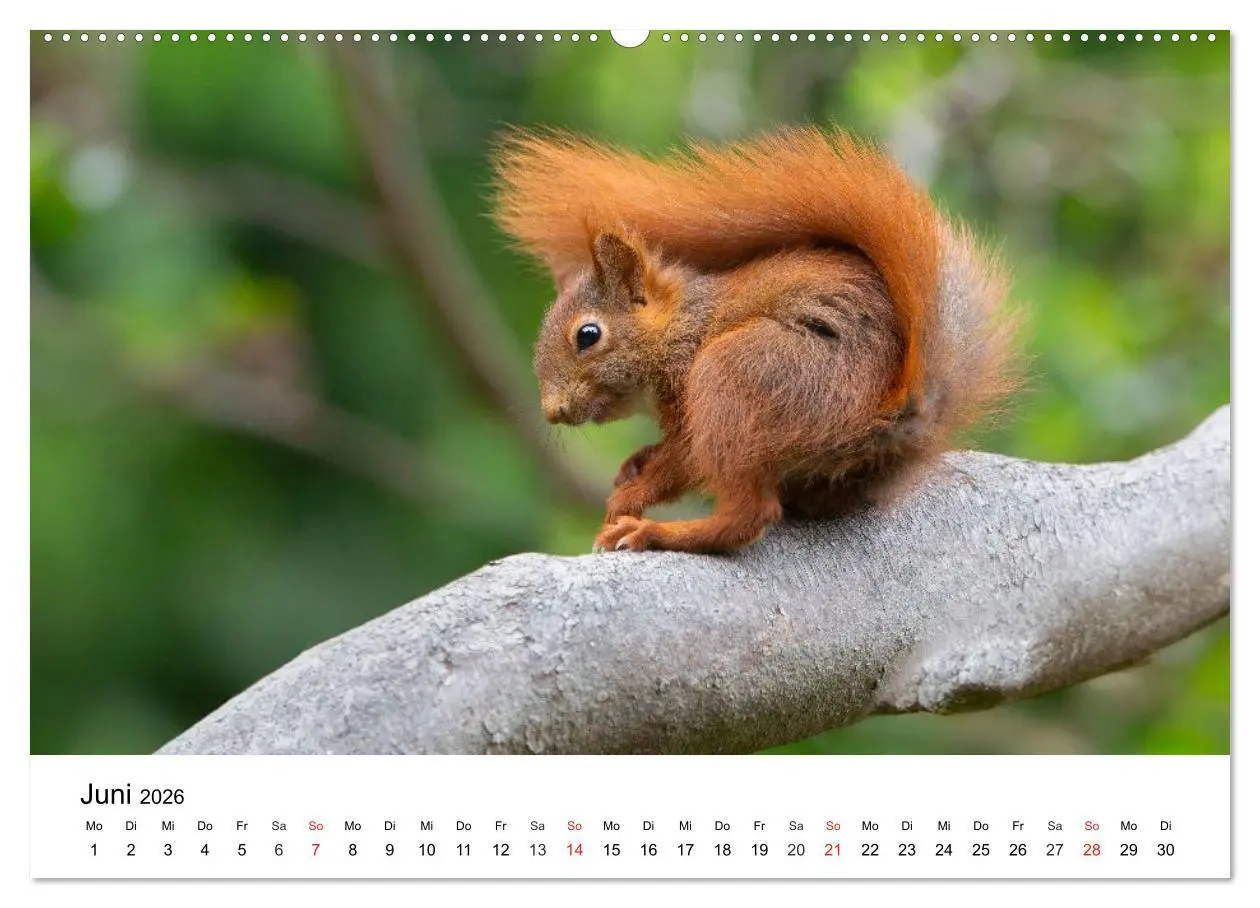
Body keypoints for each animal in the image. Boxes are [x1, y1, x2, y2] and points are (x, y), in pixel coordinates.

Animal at [491, 126, 1023, 554]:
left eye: (588, 335)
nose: (553, 411)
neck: (684, 323)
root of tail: (889, 412)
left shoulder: (688, 380)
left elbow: (684, 460)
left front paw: (630, 496)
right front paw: (635, 463)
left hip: (741, 372)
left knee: (749, 515)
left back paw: (661, 534)